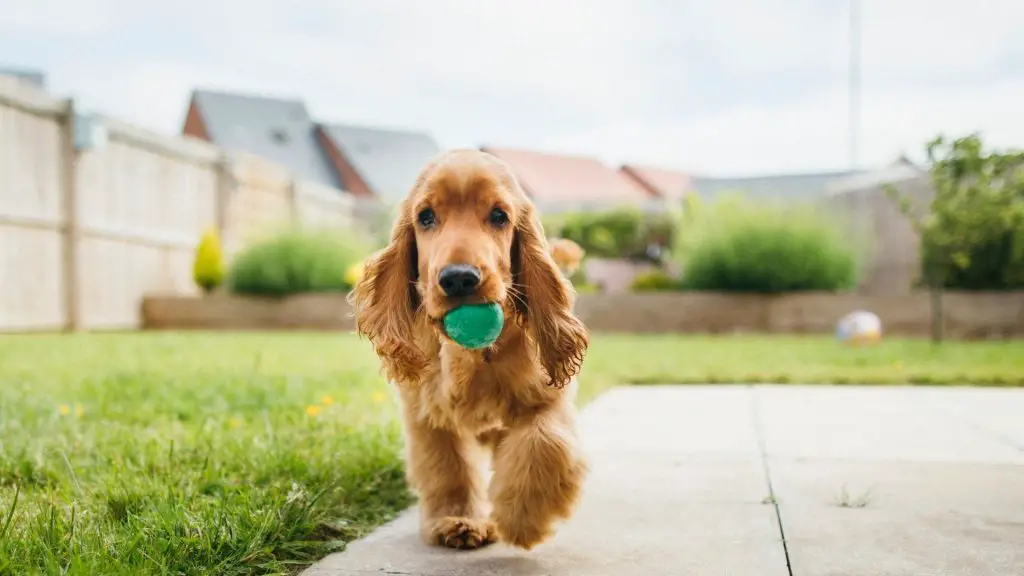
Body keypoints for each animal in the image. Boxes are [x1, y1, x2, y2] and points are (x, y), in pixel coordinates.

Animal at [352, 146, 593, 545]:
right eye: (426, 217)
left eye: (498, 216)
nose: (459, 278)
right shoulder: (426, 412)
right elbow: (448, 467)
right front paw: (458, 519)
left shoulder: (547, 397)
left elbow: (544, 443)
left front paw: (522, 517)